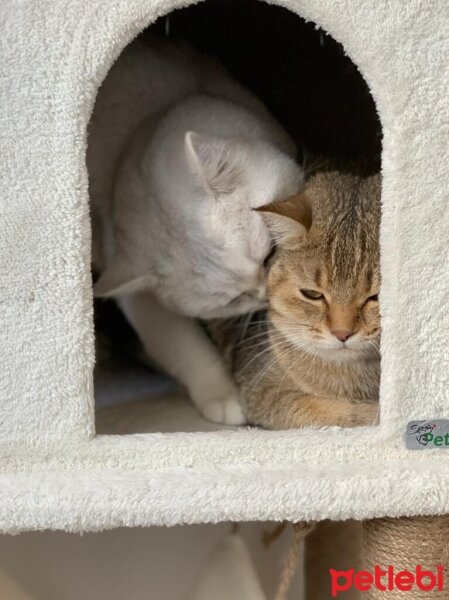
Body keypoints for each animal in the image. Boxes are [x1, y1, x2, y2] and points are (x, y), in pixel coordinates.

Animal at [87, 37, 302, 424]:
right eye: (234, 300)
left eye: (268, 257)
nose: (263, 294)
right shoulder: (140, 298)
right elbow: (182, 346)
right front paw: (223, 397)